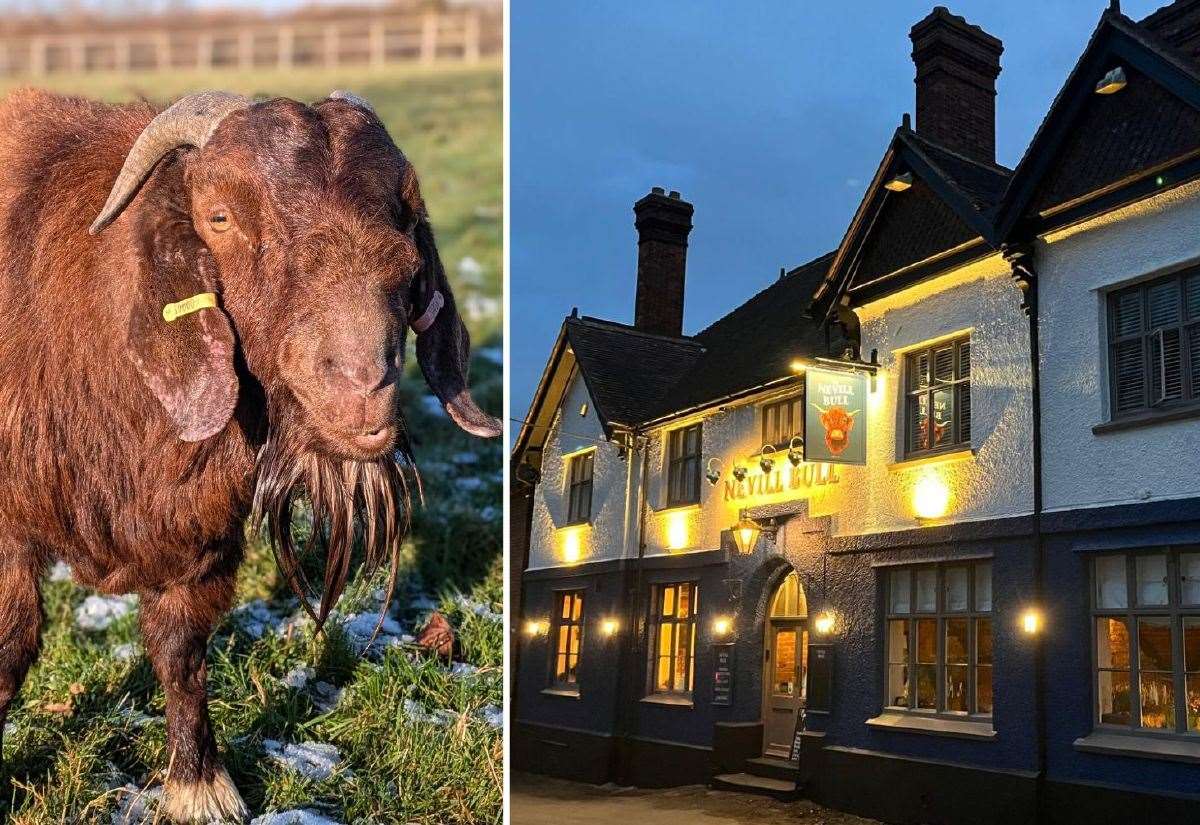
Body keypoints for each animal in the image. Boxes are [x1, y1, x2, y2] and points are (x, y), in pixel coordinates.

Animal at [0, 86, 499, 820]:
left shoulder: (199, 529)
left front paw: (199, 784)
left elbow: (181, 646)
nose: (361, 389)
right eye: (219, 216)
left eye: (405, 216)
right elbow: (12, 644)